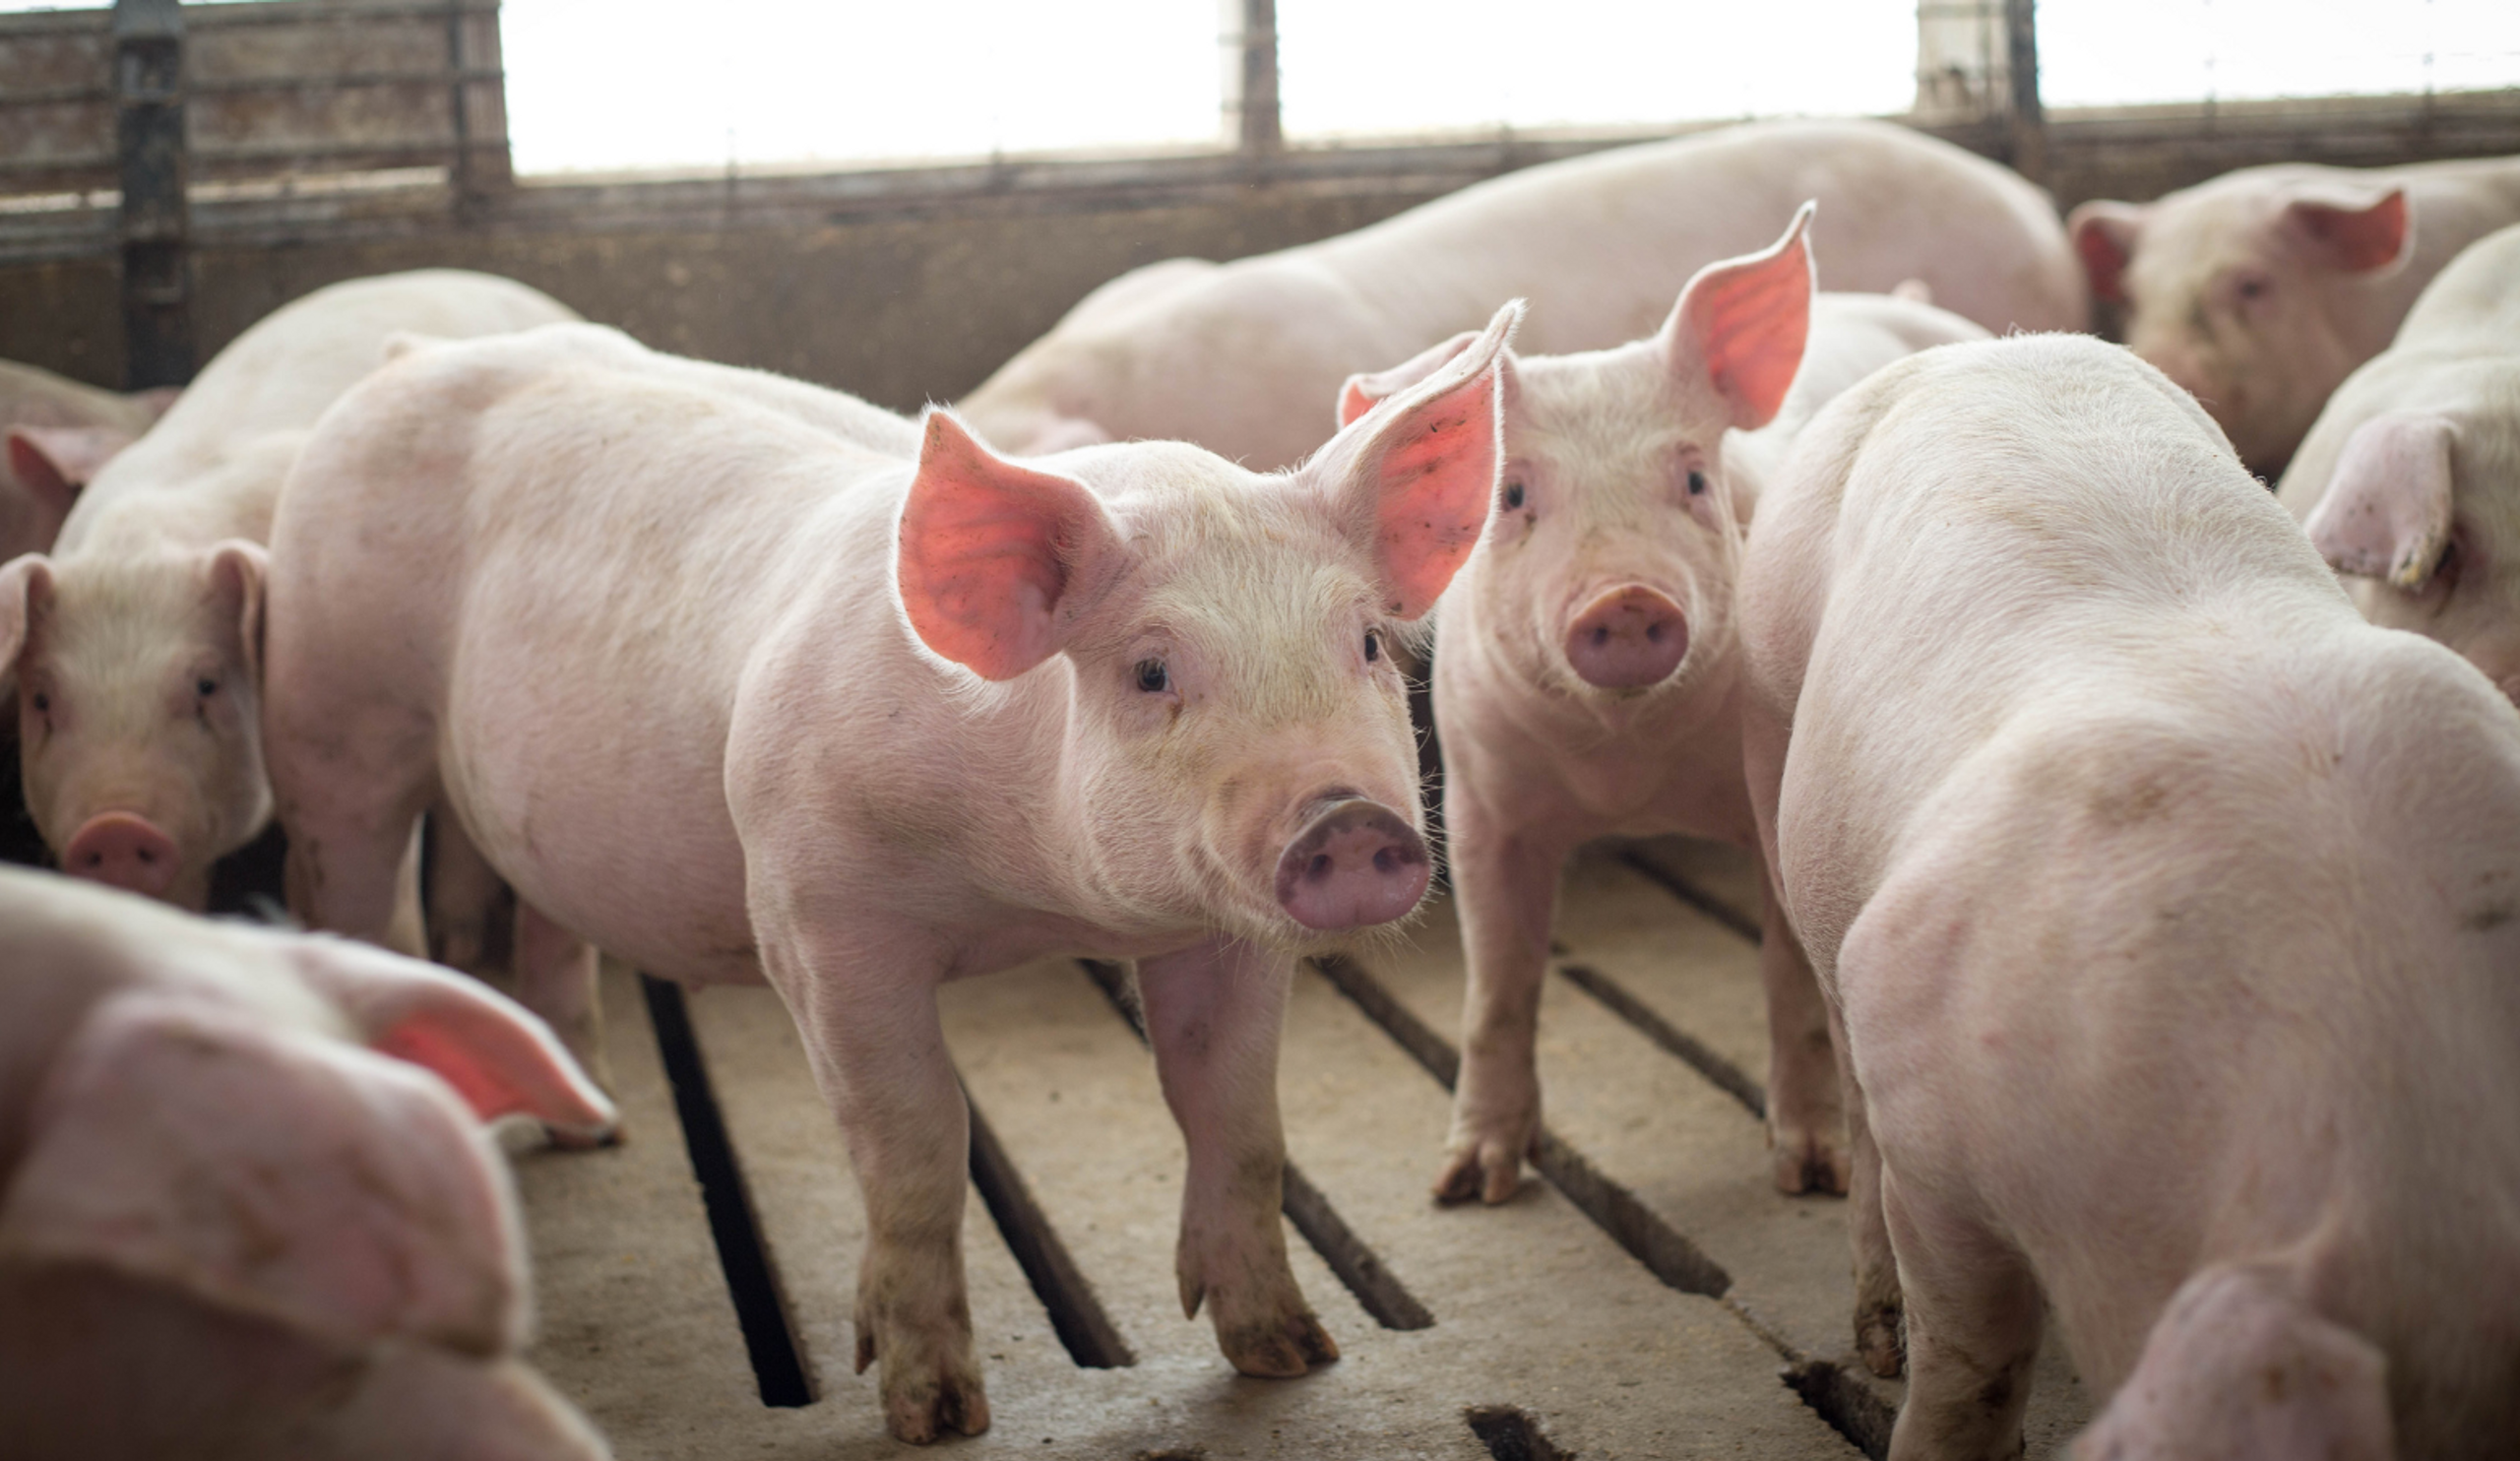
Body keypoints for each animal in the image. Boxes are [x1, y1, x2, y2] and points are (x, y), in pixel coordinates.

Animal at [260, 304, 1520, 1442]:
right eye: (1152, 670)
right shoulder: (815, 913)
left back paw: (595, 1124)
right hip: (334, 713)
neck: (1030, 898)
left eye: (1367, 643)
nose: (1348, 820)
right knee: (353, 884)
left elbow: (1237, 1111)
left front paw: (1294, 1354)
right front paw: (935, 1414)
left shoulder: (1224, 932)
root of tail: (408, 356)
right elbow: (914, 1139)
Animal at [1337, 206, 1989, 1203]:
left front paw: (1813, 1173)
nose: (1627, 599)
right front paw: (1470, 1188)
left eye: (1692, 479)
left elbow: (1790, 980)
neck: (1627, 773)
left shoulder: (1767, 794)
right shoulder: (1482, 802)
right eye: (1514, 492)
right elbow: (1498, 986)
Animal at [1736, 333, 2520, 1459]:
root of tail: (1981, 348)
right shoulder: (1929, 1090)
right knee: (1846, 1078)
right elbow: (1971, 1355)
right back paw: (1876, 1342)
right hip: (1768, 725)